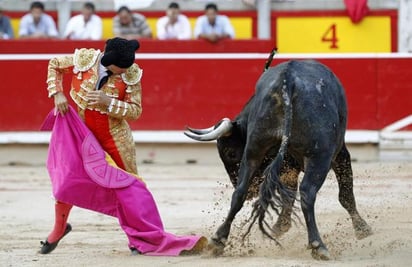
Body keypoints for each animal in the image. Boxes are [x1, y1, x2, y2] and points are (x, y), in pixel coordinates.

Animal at [185, 59, 372, 260]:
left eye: (230, 153)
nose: (252, 193)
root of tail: (287, 80)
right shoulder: (340, 154)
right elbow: (345, 195)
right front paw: (362, 229)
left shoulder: (285, 166)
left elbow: (287, 195)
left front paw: (280, 226)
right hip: (320, 156)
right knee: (307, 193)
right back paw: (318, 245)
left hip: (253, 151)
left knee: (239, 193)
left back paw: (218, 240)